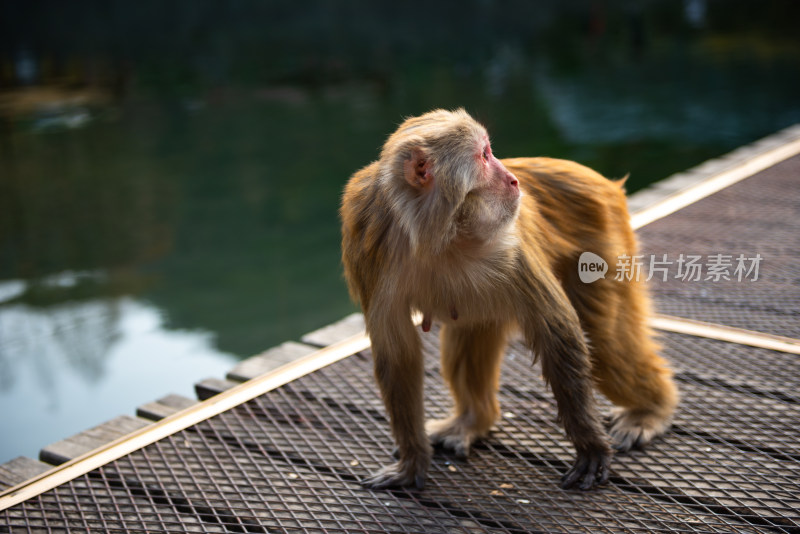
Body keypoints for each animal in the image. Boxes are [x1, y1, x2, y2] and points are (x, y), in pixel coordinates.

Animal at [340, 109, 680, 494]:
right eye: (485, 156)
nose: (514, 180)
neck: (436, 232)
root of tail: (590, 175)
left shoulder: (508, 245)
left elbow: (556, 331)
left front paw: (590, 445)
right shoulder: (367, 240)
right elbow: (398, 354)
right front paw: (412, 461)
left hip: (605, 240)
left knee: (606, 344)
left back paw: (651, 409)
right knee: (471, 327)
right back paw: (473, 419)